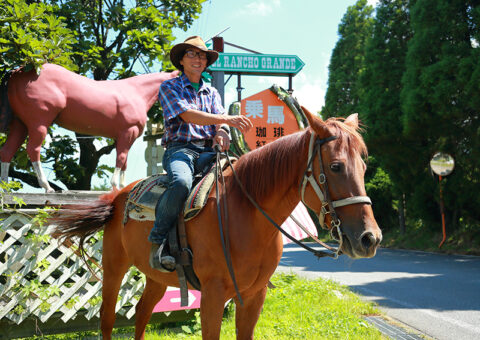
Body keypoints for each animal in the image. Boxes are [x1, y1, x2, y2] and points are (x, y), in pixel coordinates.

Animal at [0, 63, 178, 191]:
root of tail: (17, 72)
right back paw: (47, 187)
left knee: (7, 151)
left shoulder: (125, 137)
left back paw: (6, 189)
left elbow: (124, 162)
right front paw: (114, 187)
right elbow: (120, 159)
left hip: (20, 125)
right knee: (33, 149)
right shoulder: (128, 132)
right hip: (39, 123)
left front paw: (122, 188)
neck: (136, 93)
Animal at [51, 107, 382, 340]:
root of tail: (118, 196)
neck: (247, 214)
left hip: (156, 277)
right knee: (107, 319)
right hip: (114, 266)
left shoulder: (254, 296)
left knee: (142, 313)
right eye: (336, 166)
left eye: (364, 166)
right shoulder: (212, 295)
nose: (370, 238)